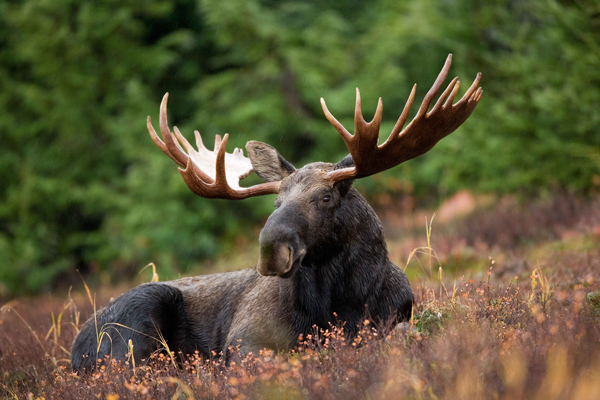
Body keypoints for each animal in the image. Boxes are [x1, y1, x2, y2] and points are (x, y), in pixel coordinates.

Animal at [70, 54, 482, 372]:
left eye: (325, 197)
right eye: (276, 202)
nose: (271, 250)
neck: (342, 302)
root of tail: (74, 350)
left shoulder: (396, 318)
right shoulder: (244, 340)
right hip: (138, 321)